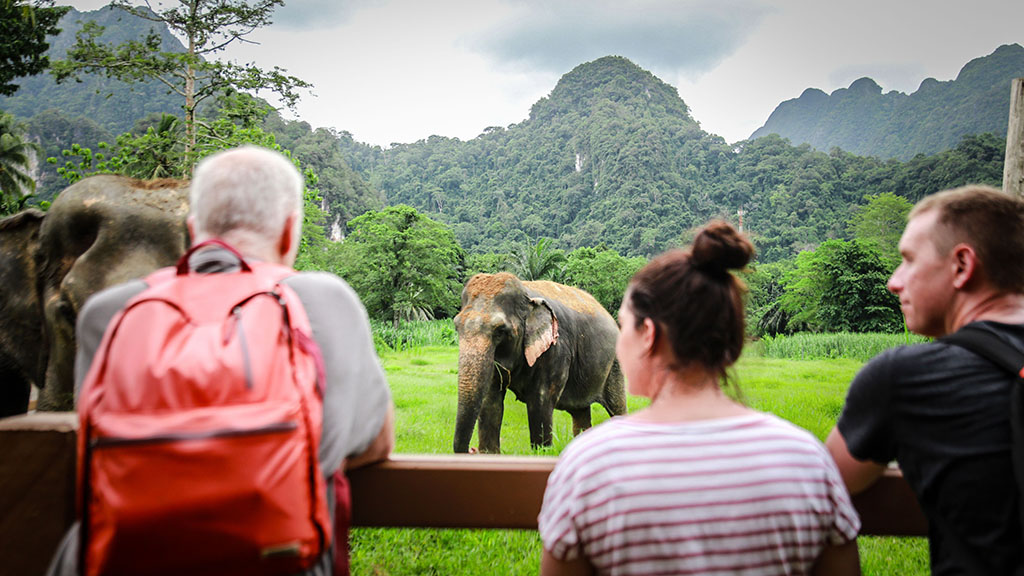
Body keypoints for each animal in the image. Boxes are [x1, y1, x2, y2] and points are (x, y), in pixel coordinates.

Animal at [454, 272, 626, 453]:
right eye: (457, 327)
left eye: (500, 330)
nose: (472, 450)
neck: (527, 296)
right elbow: (491, 401)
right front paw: (489, 453)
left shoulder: (556, 349)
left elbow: (540, 400)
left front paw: (541, 452)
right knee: (580, 411)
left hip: (615, 364)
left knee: (616, 406)